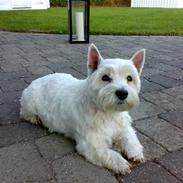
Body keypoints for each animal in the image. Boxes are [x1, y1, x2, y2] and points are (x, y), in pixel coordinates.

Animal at [20, 44, 146, 174]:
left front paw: (135, 152)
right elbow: (107, 153)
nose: (122, 93)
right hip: (30, 102)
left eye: (129, 78)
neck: (108, 112)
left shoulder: (123, 128)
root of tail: (37, 79)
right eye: (105, 77)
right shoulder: (91, 144)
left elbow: (130, 138)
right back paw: (35, 119)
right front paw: (120, 163)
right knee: (25, 113)